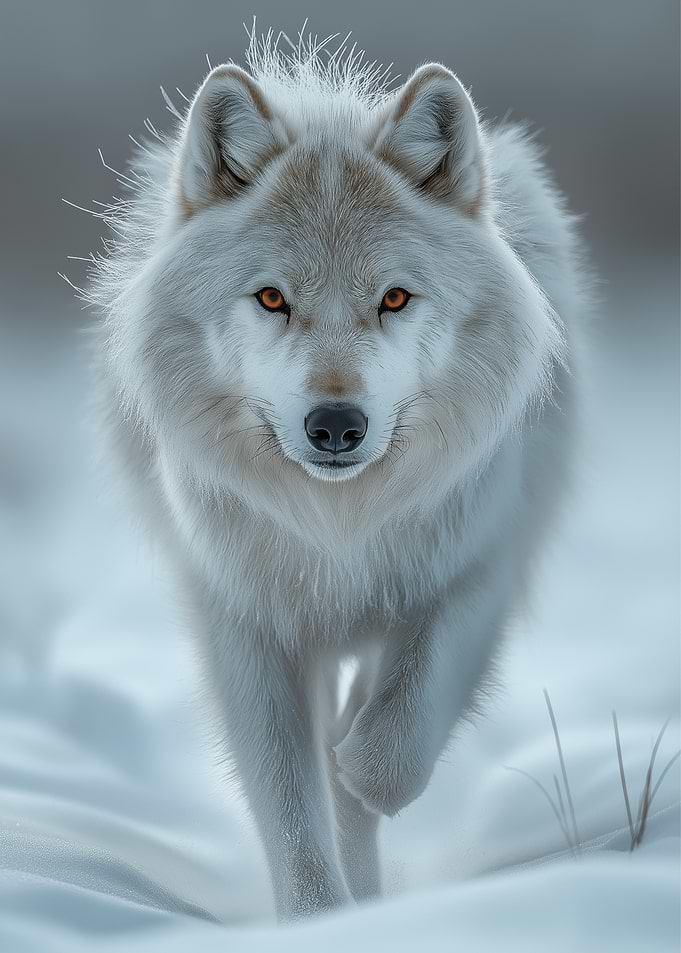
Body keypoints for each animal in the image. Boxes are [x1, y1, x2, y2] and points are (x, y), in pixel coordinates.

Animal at [87, 34, 589, 919]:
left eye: (393, 298)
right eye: (271, 299)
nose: (335, 426)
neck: (340, 529)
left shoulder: (476, 567)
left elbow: (394, 742)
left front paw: (364, 768)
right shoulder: (245, 627)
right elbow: (293, 805)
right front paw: (319, 918)